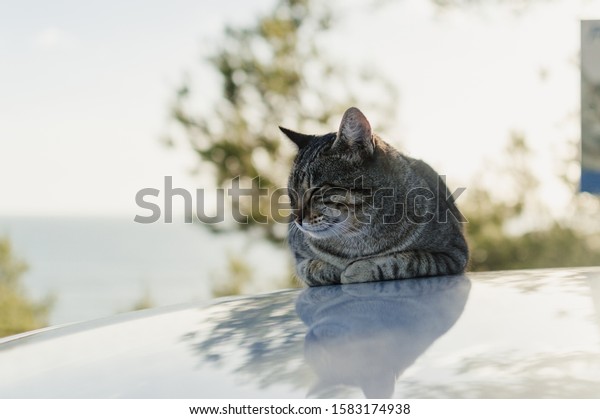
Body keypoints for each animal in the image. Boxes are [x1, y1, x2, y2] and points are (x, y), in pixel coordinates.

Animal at [282, 106, 468, 288]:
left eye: (316, 190)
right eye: (291, 194)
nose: (297, 220)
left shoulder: (453, 253)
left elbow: (406, 261)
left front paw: (357, 269)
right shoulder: (299, 259)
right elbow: (309, 268)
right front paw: (330, 269)